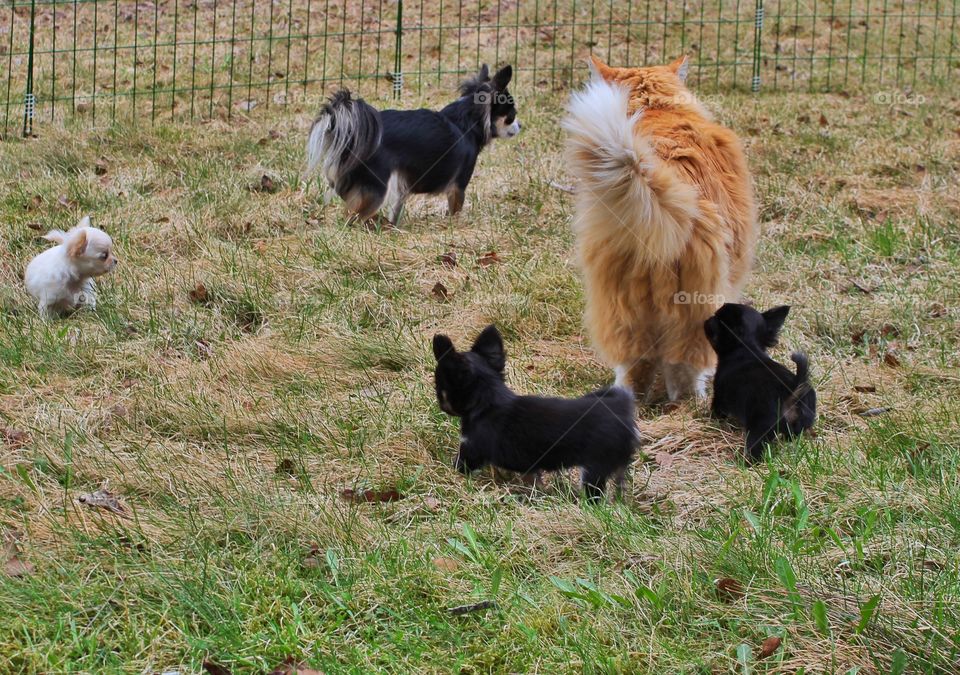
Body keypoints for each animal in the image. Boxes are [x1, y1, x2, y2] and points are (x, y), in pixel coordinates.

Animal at [306, 64, 516, 226]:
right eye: (512, 116)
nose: (520, 126)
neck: (466, 121)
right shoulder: (458, 185)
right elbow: (455, 209)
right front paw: (454, 226)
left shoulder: (402, 186)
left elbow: (396, 208)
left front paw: (393, 225)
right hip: (377, 187)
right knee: (353, 217)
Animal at [434, 324, 636, 500]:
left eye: (439, 388)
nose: (441, 405)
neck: (489, 399)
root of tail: (621, 407)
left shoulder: (471, 449)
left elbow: (459, 465)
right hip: (618, 466)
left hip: (594, 468)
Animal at [564, 56, 756, 402]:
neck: (657, 109)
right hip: (696, 307)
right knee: (683, 368)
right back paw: (691, 402)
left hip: (621, 308)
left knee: (633, 369)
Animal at [704, 304, 816, 460]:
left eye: (717, 319)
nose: (708, 319)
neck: (747, 348)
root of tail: (793, 387)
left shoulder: (719, 398)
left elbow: (717, 411)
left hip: (761, 427)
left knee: (755, 449)